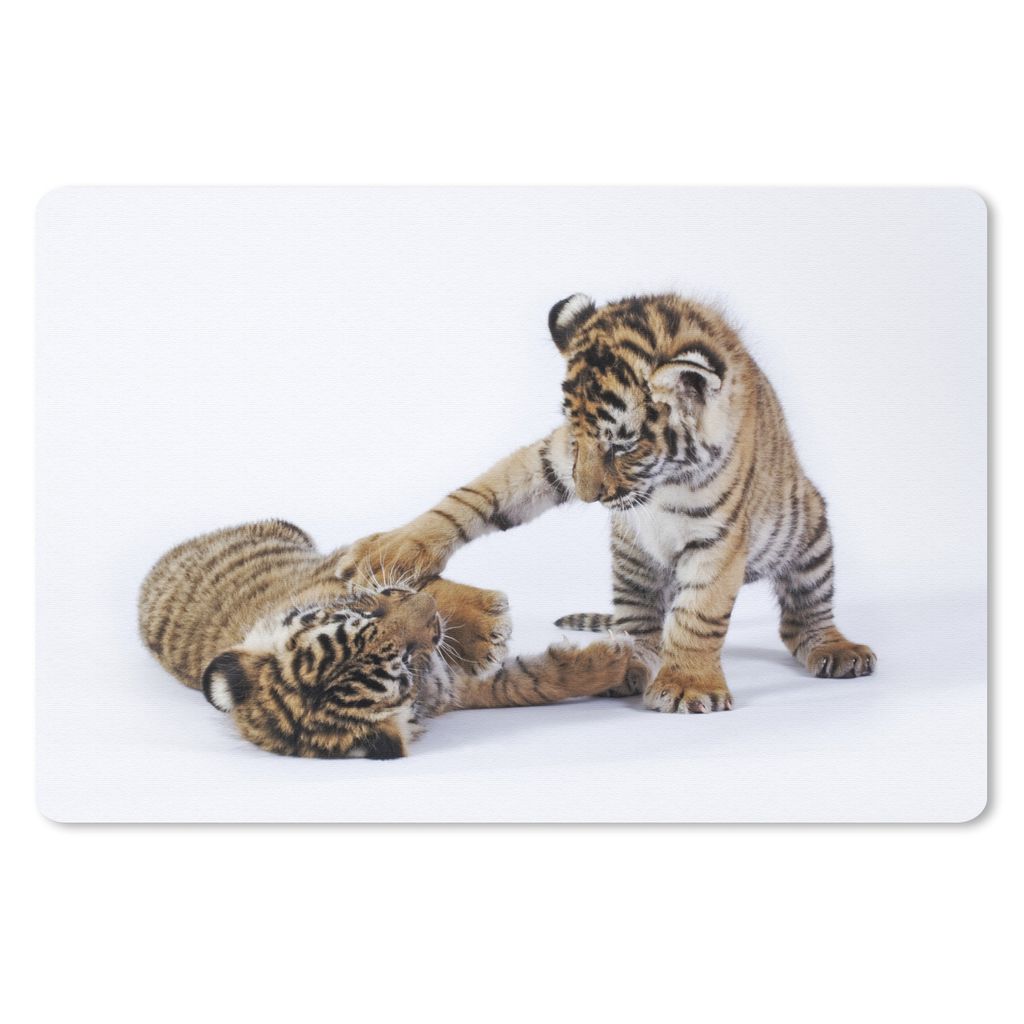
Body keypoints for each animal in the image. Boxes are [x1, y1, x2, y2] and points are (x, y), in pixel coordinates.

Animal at [138, 519, 648, 758]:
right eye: (405, 660)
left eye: (365, 613)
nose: (427, 616)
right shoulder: (458, 688)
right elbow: (539, 681)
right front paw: (626, 662)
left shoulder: (349, 577)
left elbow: (413, 580)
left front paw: (484, 619)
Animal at [338, 292, 876, 714]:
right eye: (577, 435)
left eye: (623, 445)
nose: (588, 495)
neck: (661, 482)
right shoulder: (552, 458)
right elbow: (480, 493)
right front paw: (393, 550)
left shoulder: (718, 537)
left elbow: (699, 614)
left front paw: (688, 685)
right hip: (631, 563)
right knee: (641, 624)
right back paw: (632, 664)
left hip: (810, 533)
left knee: (803, 618)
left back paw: (837, 650)